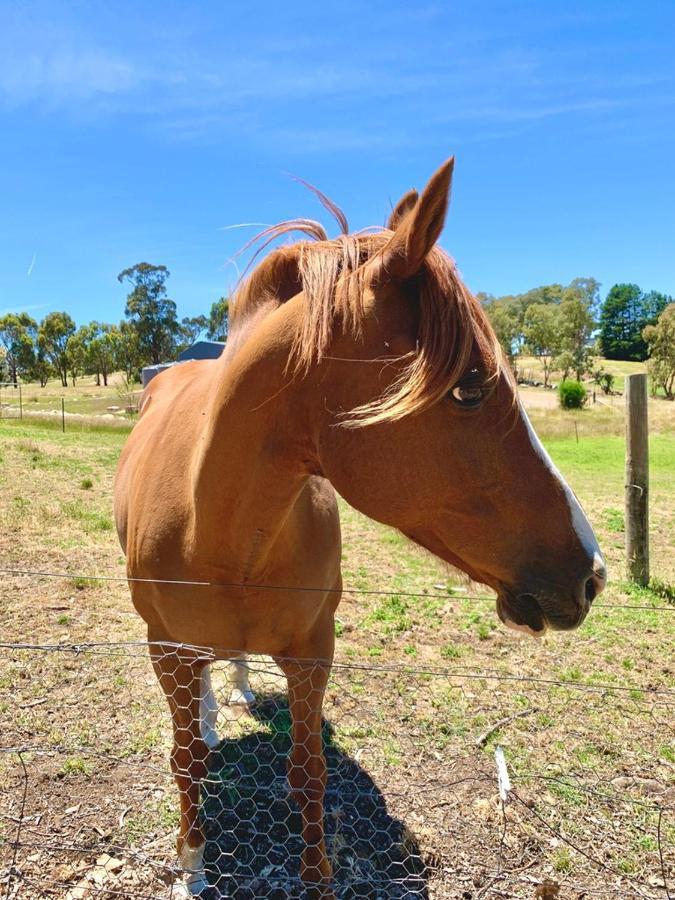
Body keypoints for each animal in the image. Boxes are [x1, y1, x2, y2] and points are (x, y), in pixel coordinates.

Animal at [115, 158, 608, 896]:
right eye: (468, 387)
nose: (592, 574)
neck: (222, 533)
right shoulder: (166, 650)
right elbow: (185, 762)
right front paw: (193, 865)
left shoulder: (313, 652)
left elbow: (308, 774)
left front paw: (317, 875)